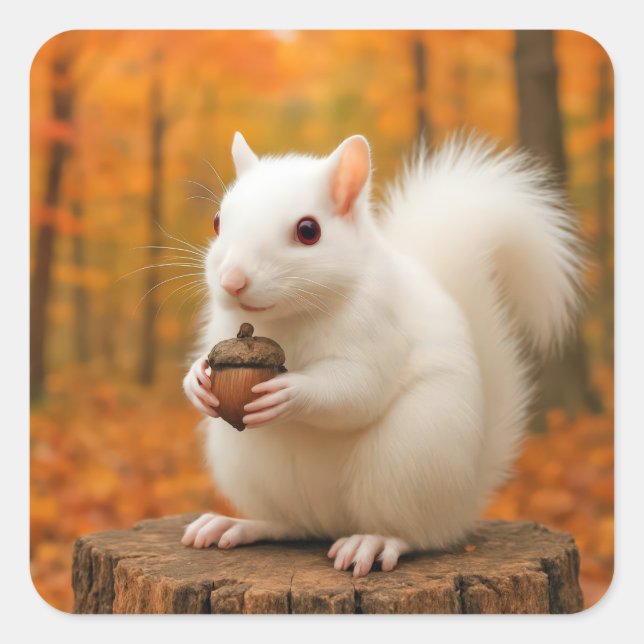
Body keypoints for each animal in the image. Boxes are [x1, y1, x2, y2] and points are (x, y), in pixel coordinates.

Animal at [181, 131, 582, 577]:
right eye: (218, 221)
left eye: (308, 231)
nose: (232, 281)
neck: (289, 317)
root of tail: (461, 505)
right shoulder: (222, 327)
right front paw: (196, 382)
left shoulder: (380, 329)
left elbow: (357, 390)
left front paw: (290, 392)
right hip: (251, 469)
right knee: (291, 524)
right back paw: (237, 525)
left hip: (409, 459)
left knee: (415, 534)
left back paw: (373, 542)